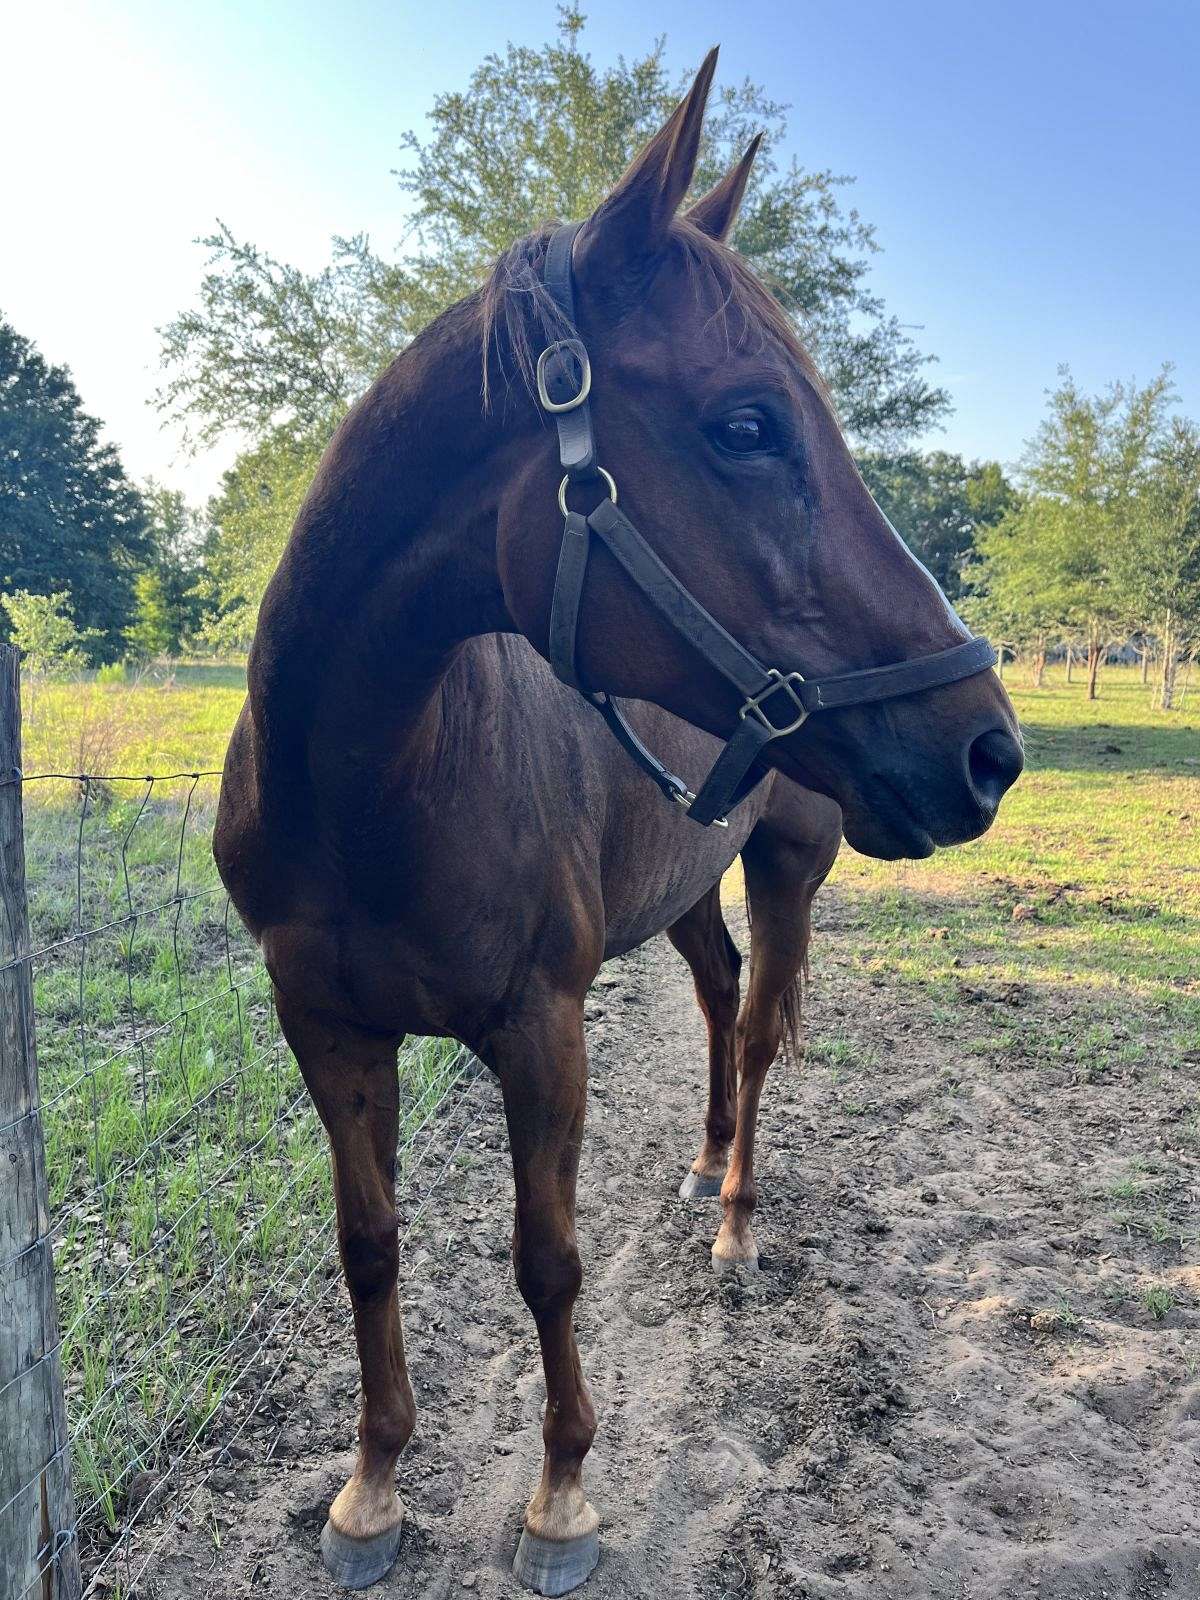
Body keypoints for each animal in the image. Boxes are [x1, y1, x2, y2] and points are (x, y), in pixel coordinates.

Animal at [214, 49, 1022, 1597]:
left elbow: (548, 1261)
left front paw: (564, 1495)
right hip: (689, 882)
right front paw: (372, 1486)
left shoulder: (542, 1027)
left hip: (785, 865)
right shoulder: (322, 1026)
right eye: (748, 423)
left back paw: (735, 1221)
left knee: (757, 1030)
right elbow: (369, 1244)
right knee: (715, 999)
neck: (378, 784)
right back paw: (705, 1160)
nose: (987, 749)